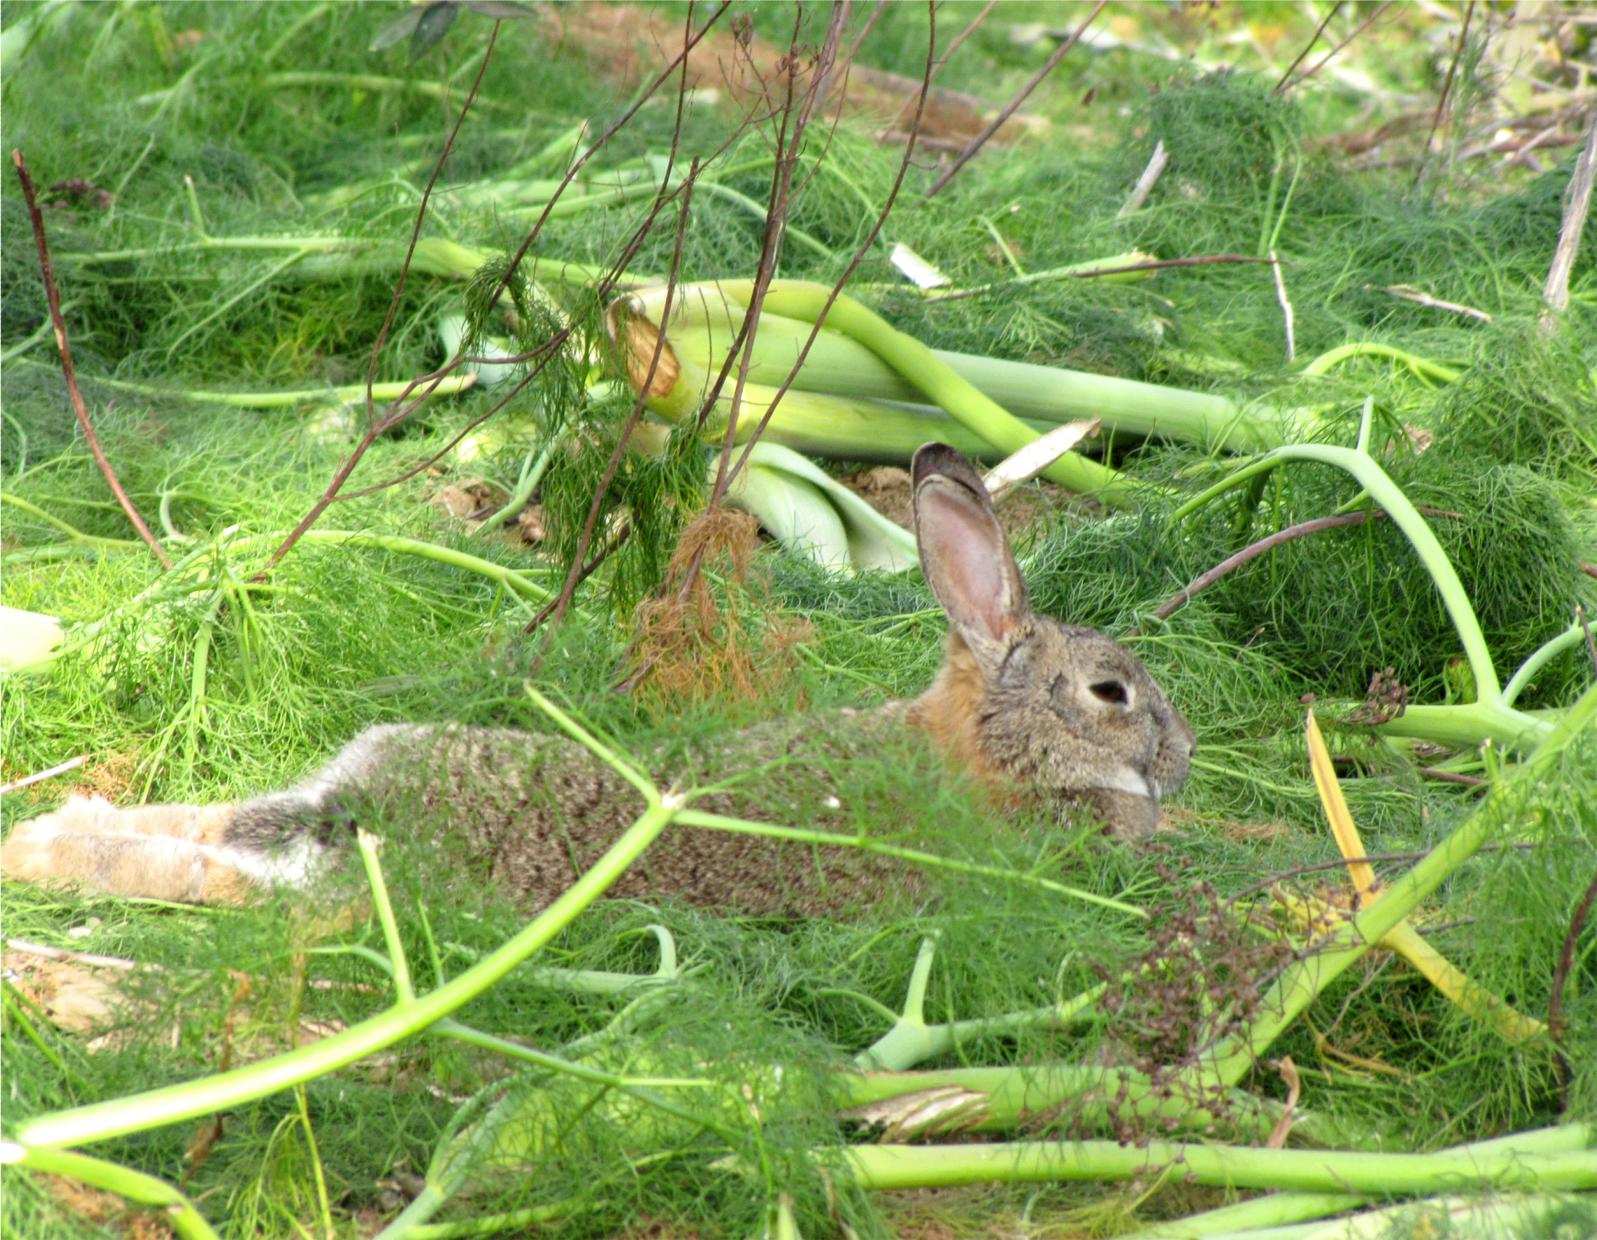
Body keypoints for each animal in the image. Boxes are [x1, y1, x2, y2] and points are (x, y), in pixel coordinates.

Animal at [6, 444, 1194, 920]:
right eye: (1111, 695)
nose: (1180, 758)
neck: (995, 744)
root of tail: (365, 811)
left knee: (203, 830)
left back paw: (47, 837)